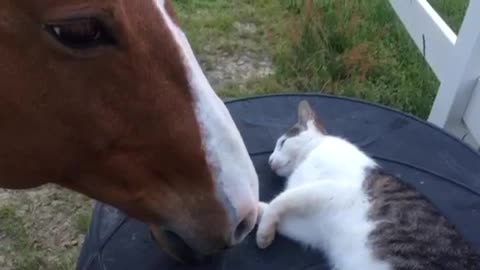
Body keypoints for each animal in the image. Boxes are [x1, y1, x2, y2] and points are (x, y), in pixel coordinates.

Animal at [256, 99, 478, 270]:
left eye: (282, 143)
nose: (270, 160)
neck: (309, 155)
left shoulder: (329, 190)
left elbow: (280, 200)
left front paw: (262, 234)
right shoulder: (312, 230)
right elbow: (277, 212)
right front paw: (256, 212)